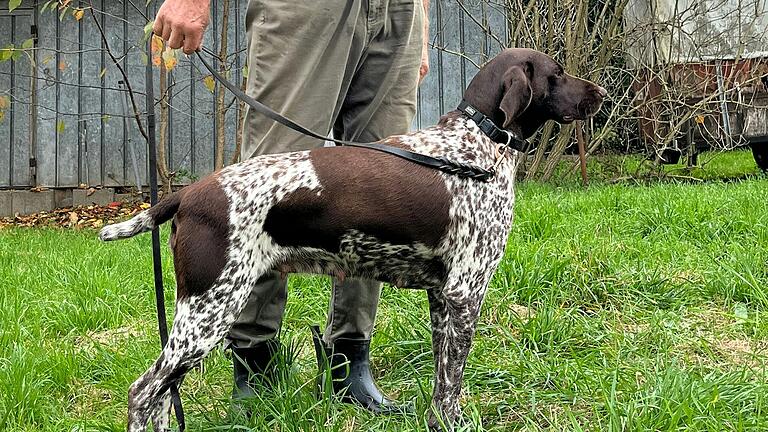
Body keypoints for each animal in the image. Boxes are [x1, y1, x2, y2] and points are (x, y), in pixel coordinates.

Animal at [100, 48, 608, 432]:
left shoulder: (444, 297)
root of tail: (188, 193)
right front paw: (454, 423)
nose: (601, 94)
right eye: (557, 74)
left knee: (163, 396)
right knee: (144, 391)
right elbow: (453, 382)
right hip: (208, 310)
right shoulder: (466, 292)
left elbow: (442, 379)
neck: (475, 148)